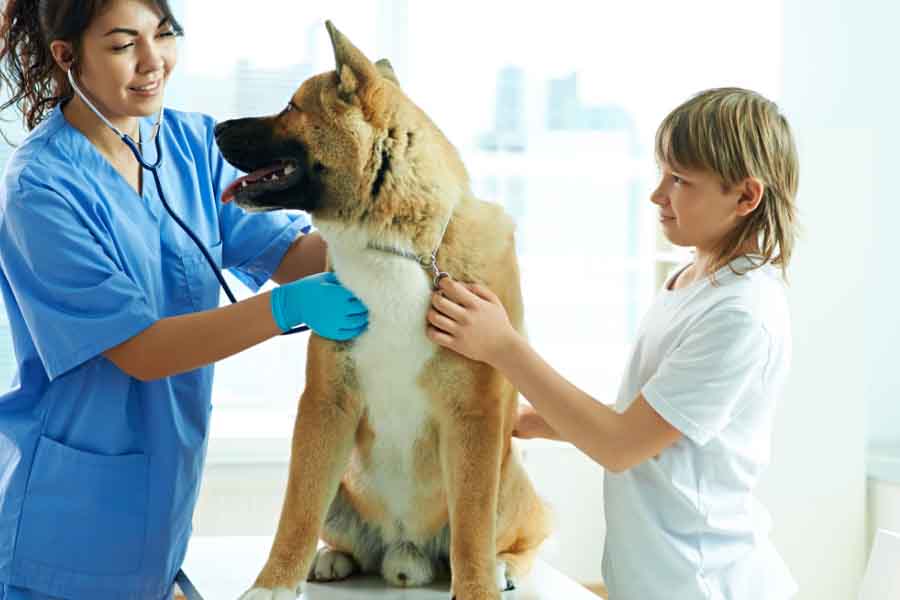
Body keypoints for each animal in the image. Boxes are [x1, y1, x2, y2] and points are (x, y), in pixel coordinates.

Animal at [214, 19, 552, 600]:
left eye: (291, 106)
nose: (215, 128)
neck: (399, 249)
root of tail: (405, 554)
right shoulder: (325, 404)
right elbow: (295, 512)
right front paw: (274, 583)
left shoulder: (475, 417)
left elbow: (471, 531)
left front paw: (478, 586)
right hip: (341, 477)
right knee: (329, 521)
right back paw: (332, 558)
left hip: (508, 477)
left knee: (510, 538)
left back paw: (503, 567)